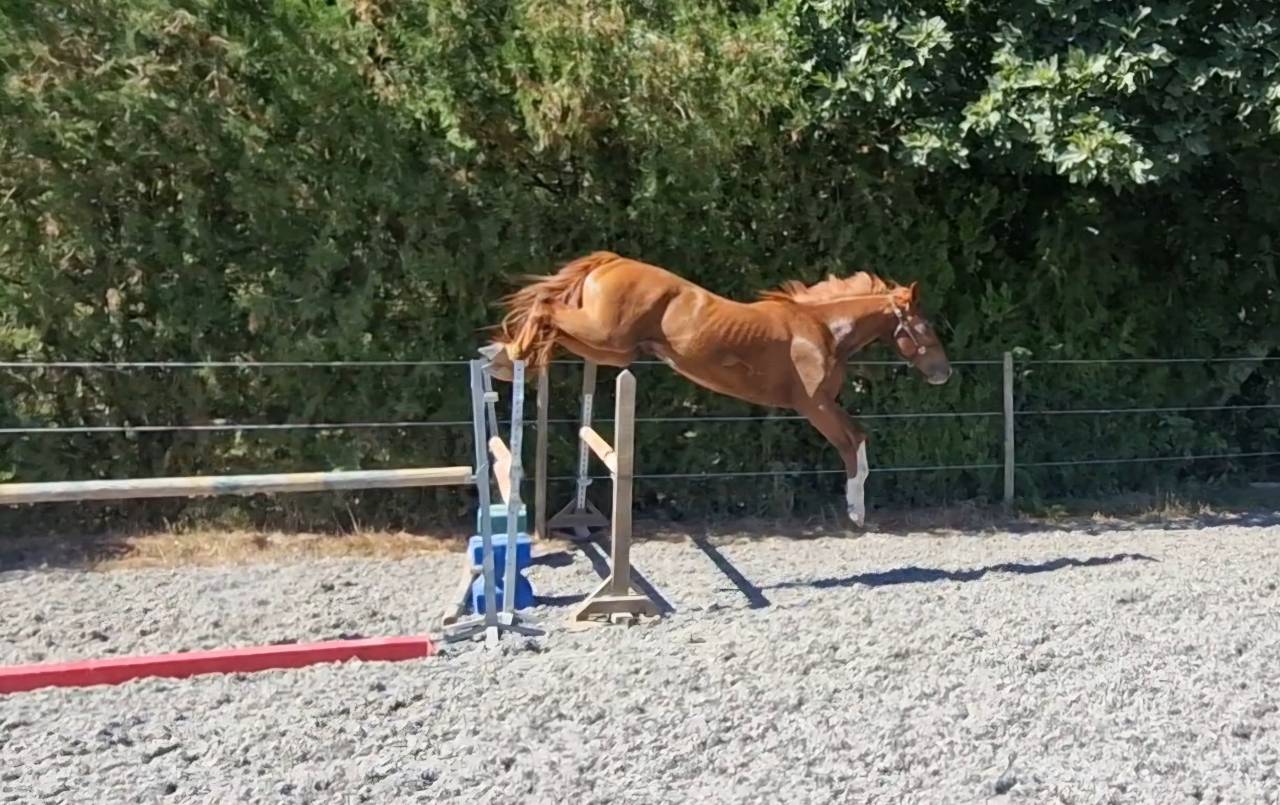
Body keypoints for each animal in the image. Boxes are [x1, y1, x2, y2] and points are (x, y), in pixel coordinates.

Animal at [480, 251, 952, 526]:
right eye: (924, 325)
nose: (943, 372)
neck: (823, 329)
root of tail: (610, 262)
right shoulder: (816, 405)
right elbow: (854, 440)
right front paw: (856, 511)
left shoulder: (819, 406)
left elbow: (856, 440)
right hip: (607, 336)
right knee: (546, 308)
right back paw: (506, 356)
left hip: (613, 349)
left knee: (551, 324)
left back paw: (504, 356)